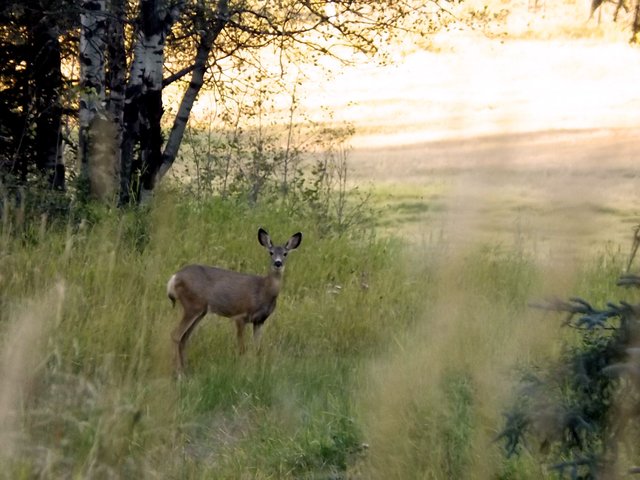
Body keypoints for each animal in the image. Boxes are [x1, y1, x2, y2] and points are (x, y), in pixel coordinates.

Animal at [168, 229, 302, 376]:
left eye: (285, 253)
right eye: (271, 252)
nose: (278, 263)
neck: (263, 291)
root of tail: (174, 278)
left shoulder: (259, 321)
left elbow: (258, 348)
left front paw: (257, 369)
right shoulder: (240, 316)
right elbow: (242, 348)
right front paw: (242, 369)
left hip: (200, 310)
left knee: (184, 338)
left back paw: (185, 370)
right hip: (192, 306)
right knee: (176, 335)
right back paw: (179, 373)